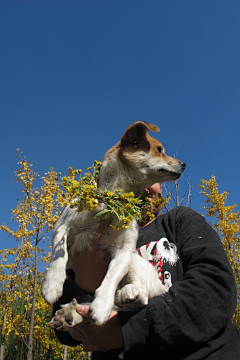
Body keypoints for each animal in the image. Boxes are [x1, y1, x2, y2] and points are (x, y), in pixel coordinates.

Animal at [42, 121, 186, 330]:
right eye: (159, 150)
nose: (184, 164)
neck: (111, 204)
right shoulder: (61, 227)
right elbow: (58, 257)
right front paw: (52, 284)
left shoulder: (124, 250)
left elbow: (112, 277)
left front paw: (102, 304)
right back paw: (71, 315)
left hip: (134, 261)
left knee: (141, 297)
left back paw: (126, 292)